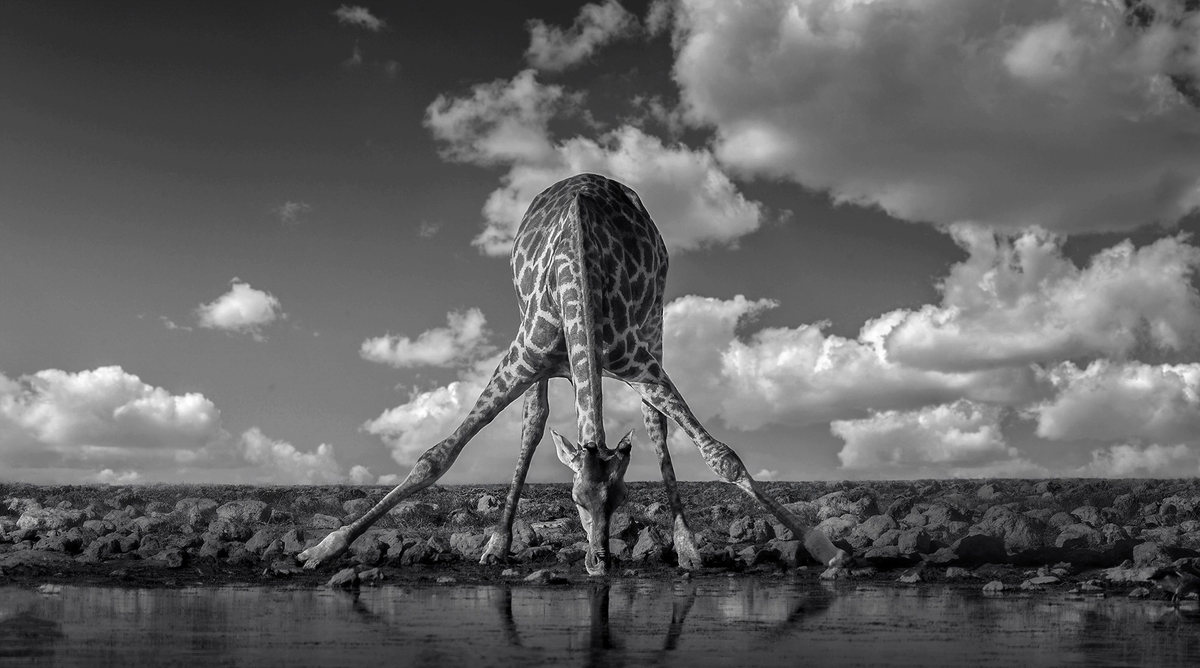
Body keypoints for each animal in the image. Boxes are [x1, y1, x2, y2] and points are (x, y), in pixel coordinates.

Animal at [298, 173, 850, 574]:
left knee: (654, 423)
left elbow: (723, 457)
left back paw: (688, 548)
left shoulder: (639, 362)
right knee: (533, 421)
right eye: (576, 500)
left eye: (620, 498)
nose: (599, 563)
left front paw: (825, 548)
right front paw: (323, 548)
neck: (579, 279)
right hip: (532, 348)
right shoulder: (521, 356)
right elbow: (435, 458)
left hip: (655, 324)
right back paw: (496, 545)